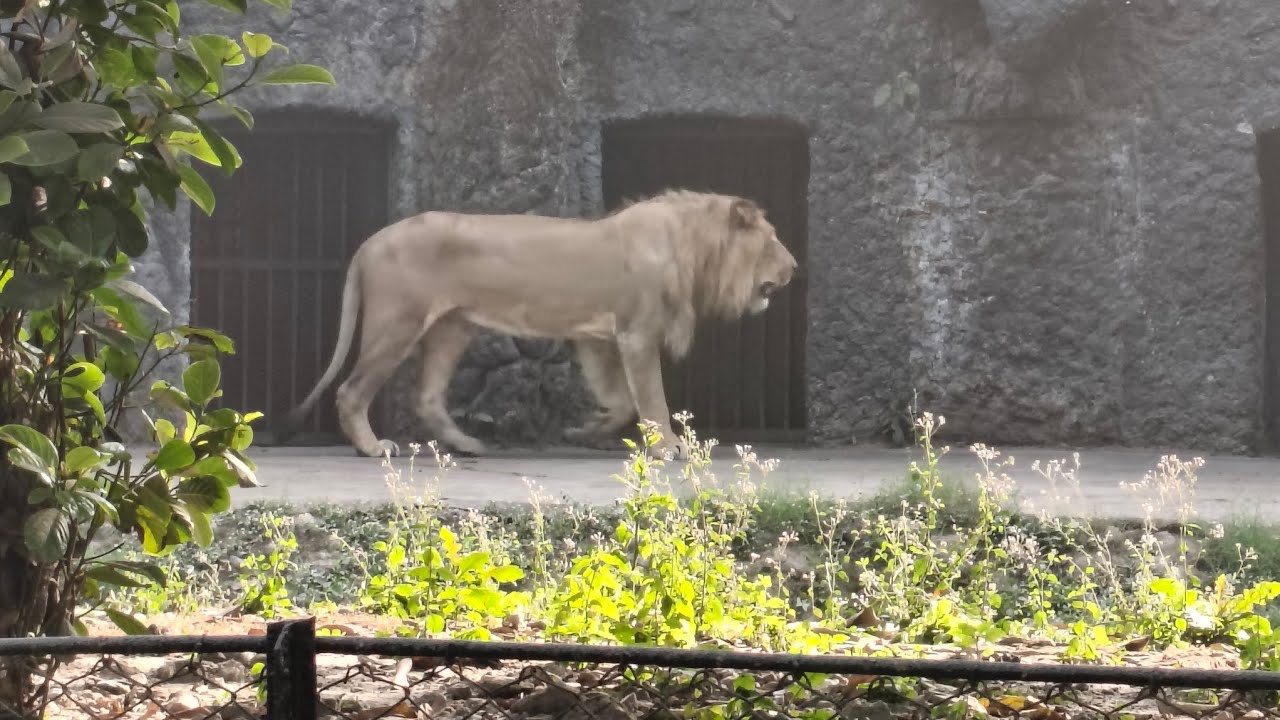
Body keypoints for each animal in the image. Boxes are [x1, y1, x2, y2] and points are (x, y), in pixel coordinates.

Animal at [280, 189, 798, 460]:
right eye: (773, 239)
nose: (794, 268)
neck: (691, 247)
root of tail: (369, 242)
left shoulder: (597, 340)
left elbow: (620, 401)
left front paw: (584, 431)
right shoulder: (637, 333)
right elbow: (651, 398)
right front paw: (668, 446)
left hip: (451, 327)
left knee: (427, 397)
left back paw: (468, 444)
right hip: (397, 323)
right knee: (351, 391)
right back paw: (373, 447)